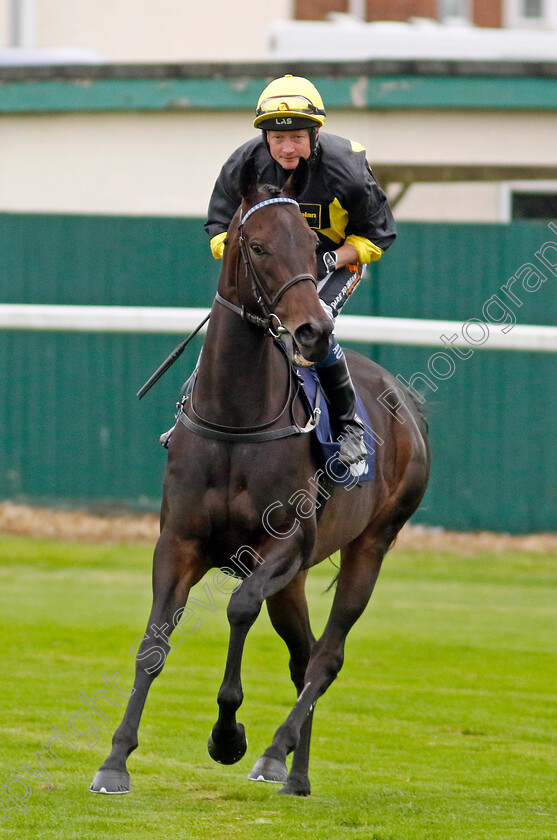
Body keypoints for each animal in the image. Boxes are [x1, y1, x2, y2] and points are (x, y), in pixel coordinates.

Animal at [91, 156, 430, 796]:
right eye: (256, 245)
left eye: (312, 245)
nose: (314, 332)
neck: (236, 419)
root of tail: (409, 406)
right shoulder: (180, 541)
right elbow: (153, 642)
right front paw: (115, 760)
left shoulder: (283, 544)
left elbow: (239, 607)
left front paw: (228, 734)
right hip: (296, 581)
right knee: (304, 656)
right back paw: (294, 774)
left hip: (371, 544)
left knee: (327, 655)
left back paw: (275, 750)